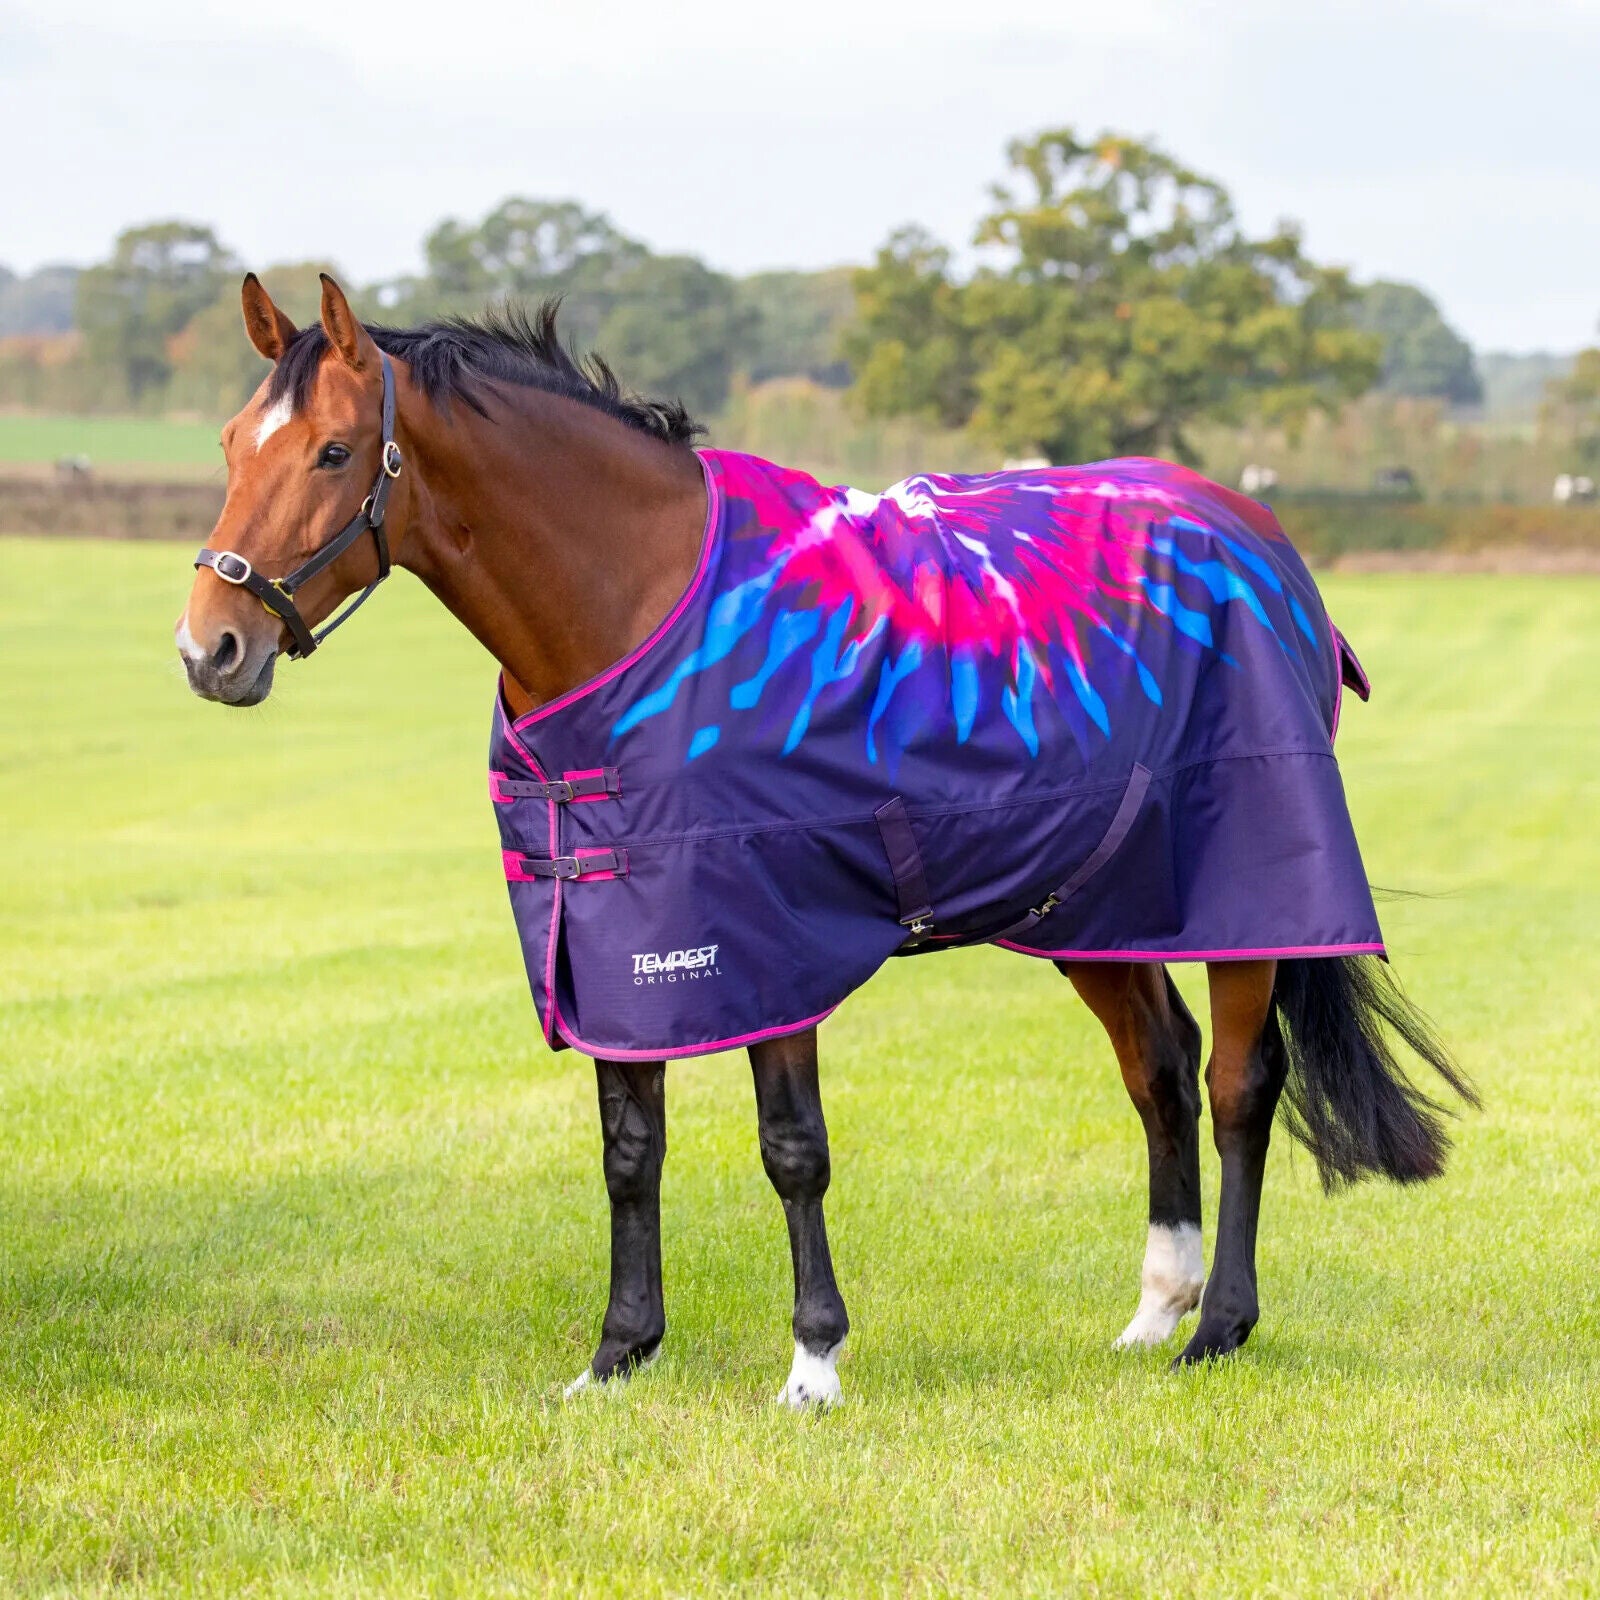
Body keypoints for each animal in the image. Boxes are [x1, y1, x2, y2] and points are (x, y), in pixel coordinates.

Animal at [178, 273, 1474, 1406]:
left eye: (333, 452)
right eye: (235, 445)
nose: (211, 647)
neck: (636, 604)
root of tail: (1260, 537)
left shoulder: (769, 940)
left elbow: (791, 1147)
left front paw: (812, 1364)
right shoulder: (615, 943)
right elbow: (628, 1149)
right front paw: (616, 1356)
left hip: (1244, 896)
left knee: (1237, 1082)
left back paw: (1218, 1329)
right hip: (1095, 904)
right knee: (1157, 1071)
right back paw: (1157, 1306)